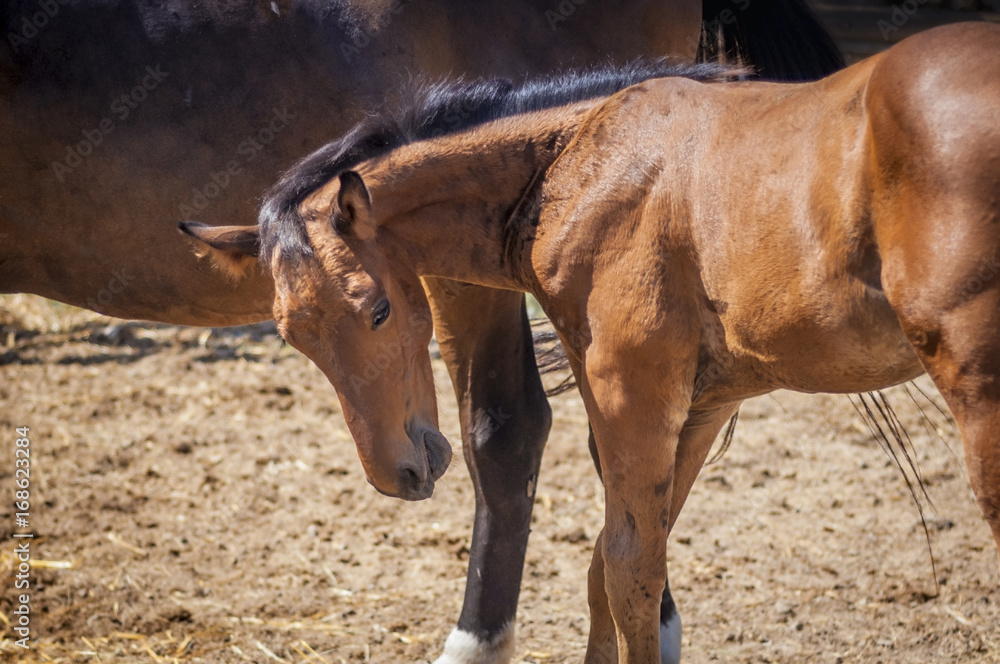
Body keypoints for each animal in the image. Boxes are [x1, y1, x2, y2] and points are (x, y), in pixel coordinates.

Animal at [185, 21, 1000, 661]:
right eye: (293, 337)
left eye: (379, 310)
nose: (402, 471)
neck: (578, 164)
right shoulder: (700, 404)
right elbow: (614, 564)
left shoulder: (629, 392)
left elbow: (628, 572)